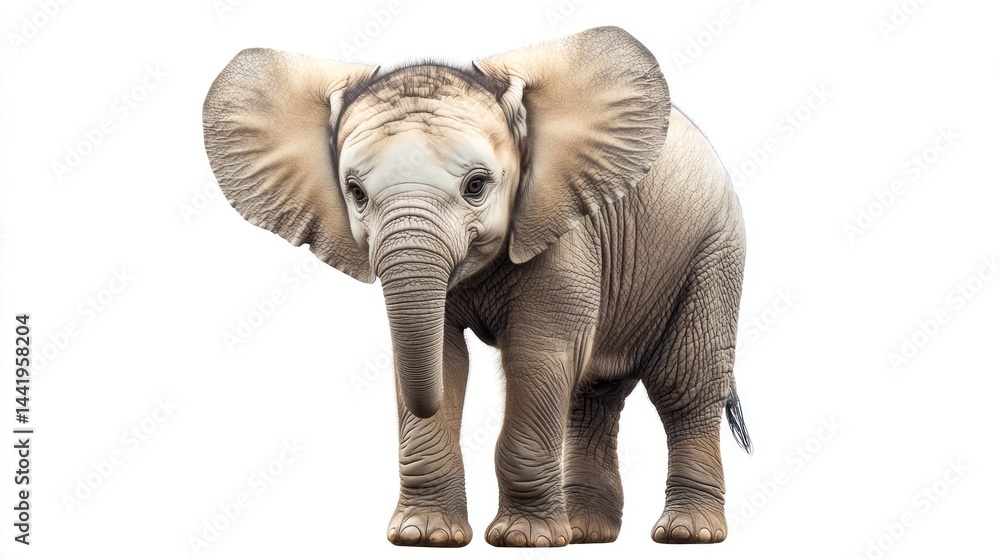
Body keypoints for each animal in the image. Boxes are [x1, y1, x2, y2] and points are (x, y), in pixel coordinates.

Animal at [203, 26, 752, 547]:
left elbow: (535, 355)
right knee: (591, 394)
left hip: (715, 248)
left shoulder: (562, 229)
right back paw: (586, 532)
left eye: (476, 186)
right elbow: (444, 357)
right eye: (355, 193)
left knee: (685, 384)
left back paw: (686, 533)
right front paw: (424, 536)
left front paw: (523, 539)